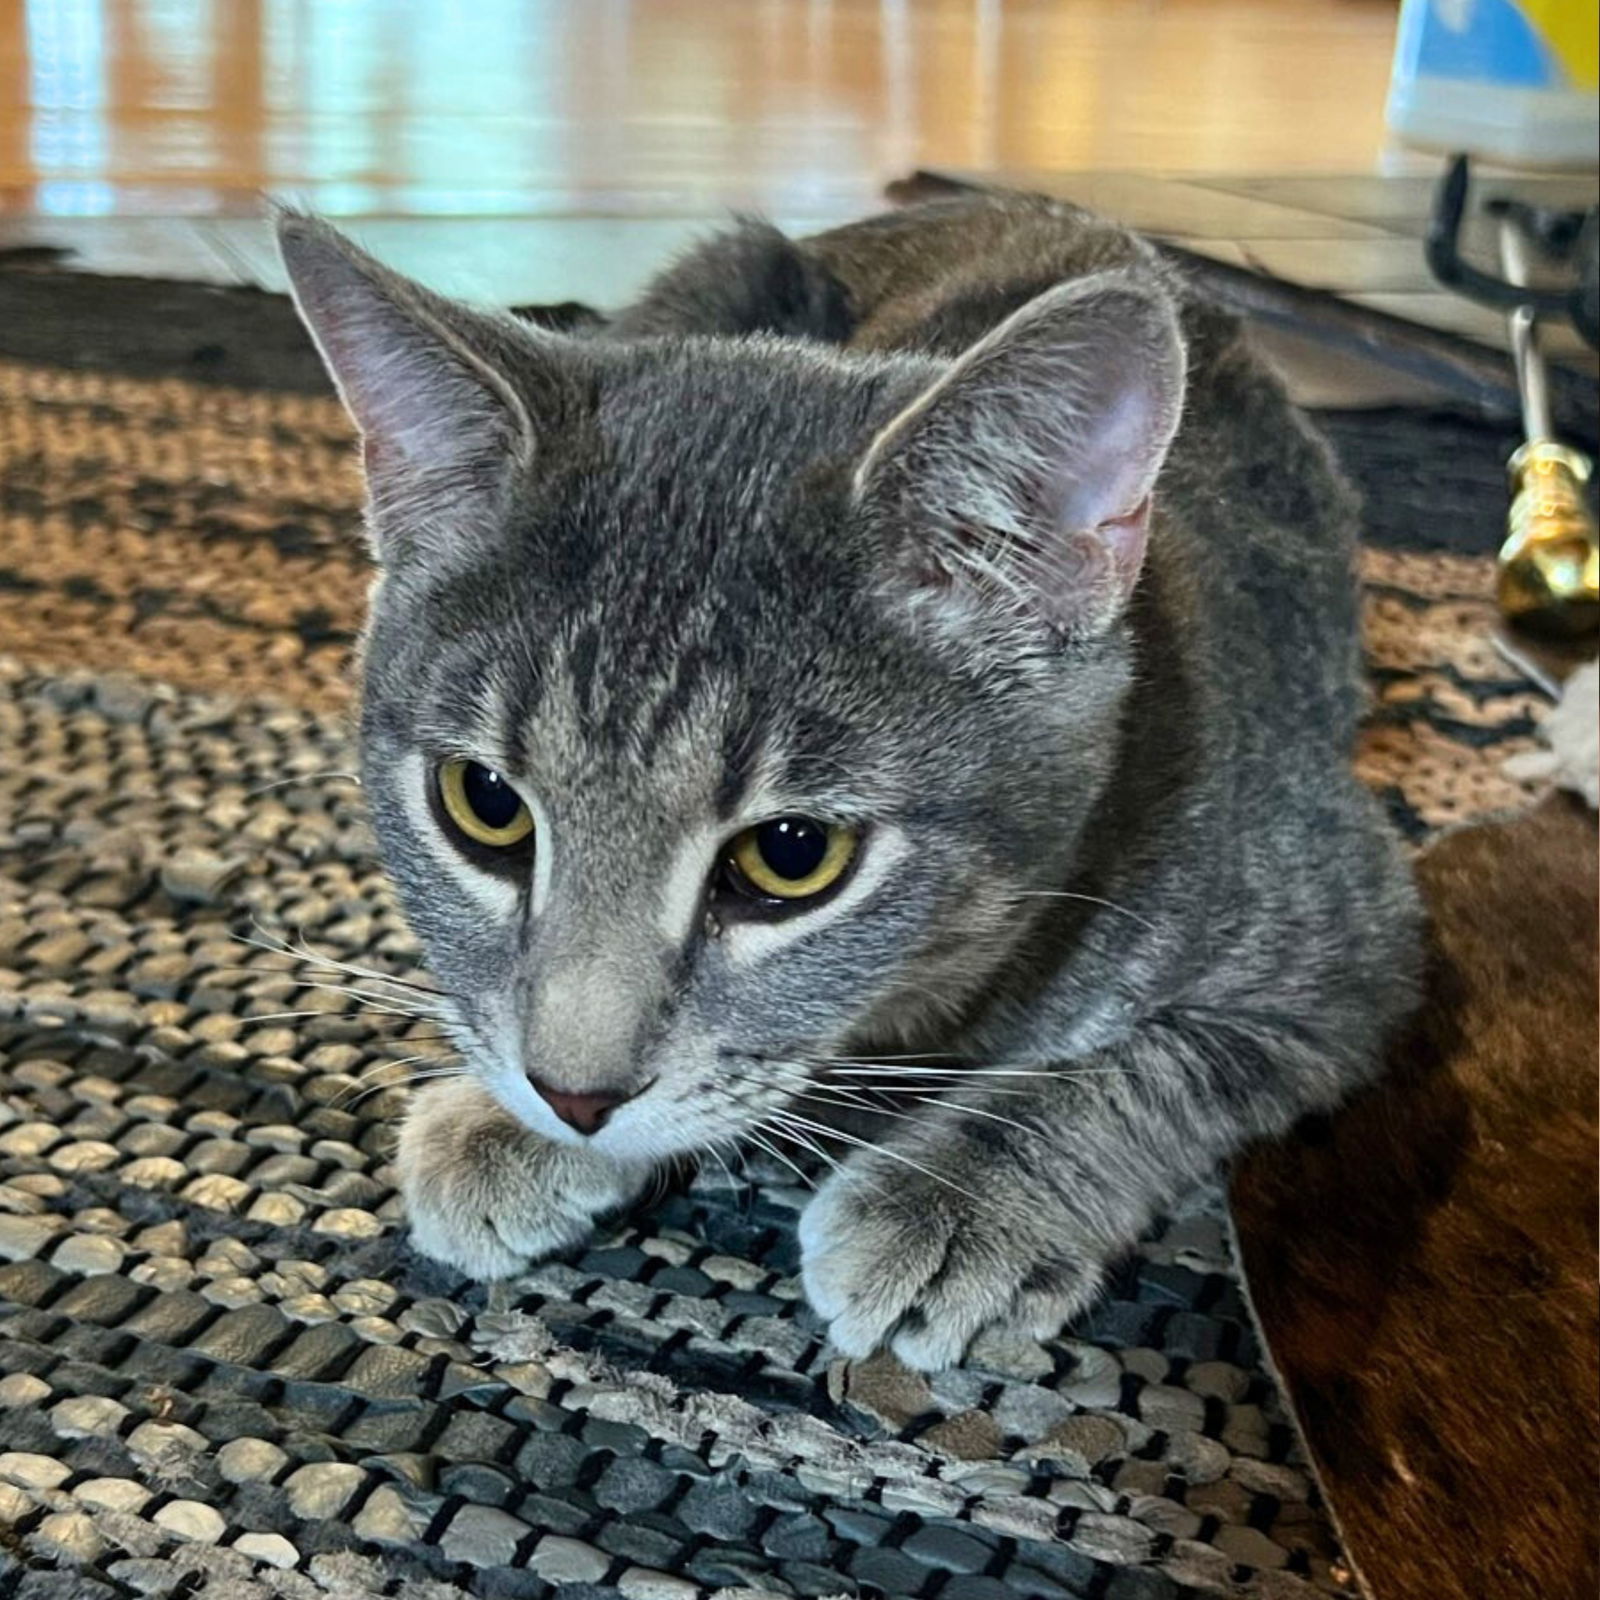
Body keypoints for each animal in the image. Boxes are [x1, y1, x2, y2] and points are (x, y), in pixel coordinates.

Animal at [281, 193, 1420, 1369]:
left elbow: (1145, 1072)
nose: (573, 1095)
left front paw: (960, 1199)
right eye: (487, 804)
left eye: (791, 857)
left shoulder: (1347, 946)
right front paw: (507, 1116)